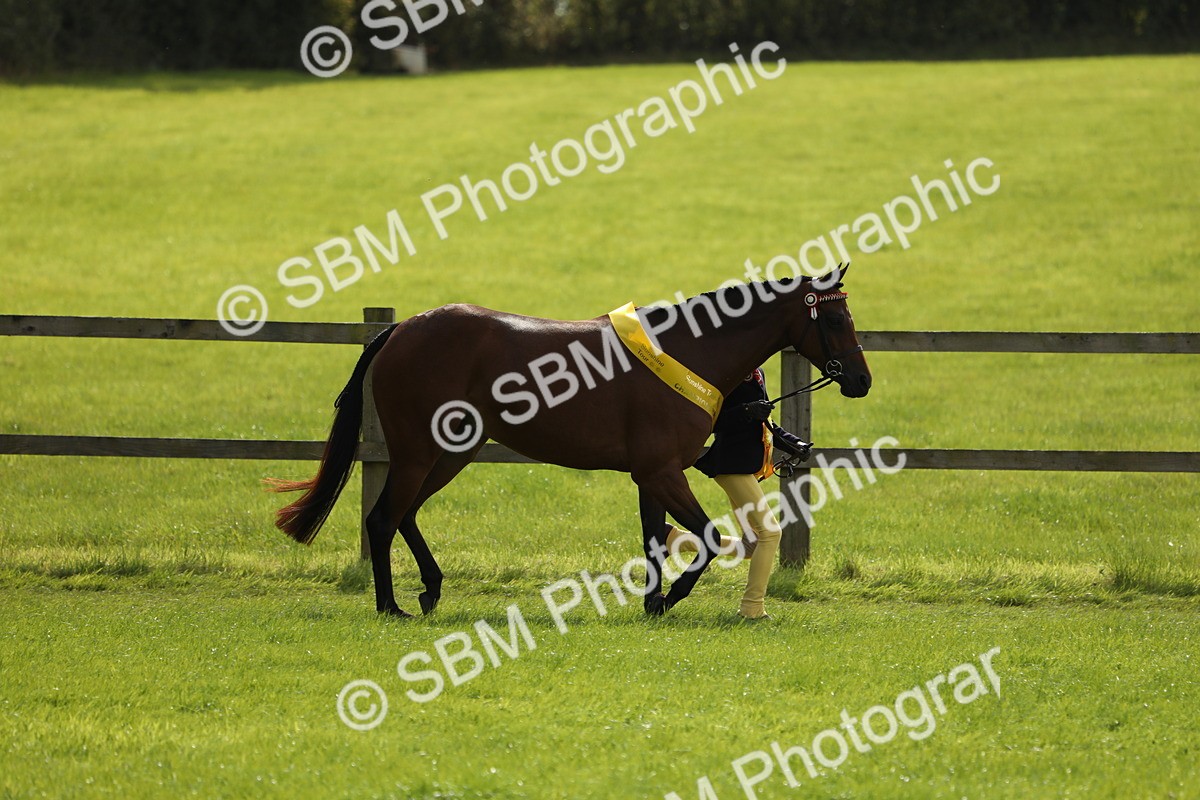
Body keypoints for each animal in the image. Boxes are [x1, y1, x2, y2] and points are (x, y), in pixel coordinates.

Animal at [268, 268, 871, 618]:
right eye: (835, 318)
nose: (861, 381)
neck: (685, 349)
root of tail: (400, 329)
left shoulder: (652, 475)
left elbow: (655, 540)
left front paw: (653, 602)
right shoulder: (661, 472)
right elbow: (707, 536)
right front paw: (672, 598)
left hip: (452, 452)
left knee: (404, 515)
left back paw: (431, 590)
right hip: (420, 452)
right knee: (382, 518)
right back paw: (391, 606)